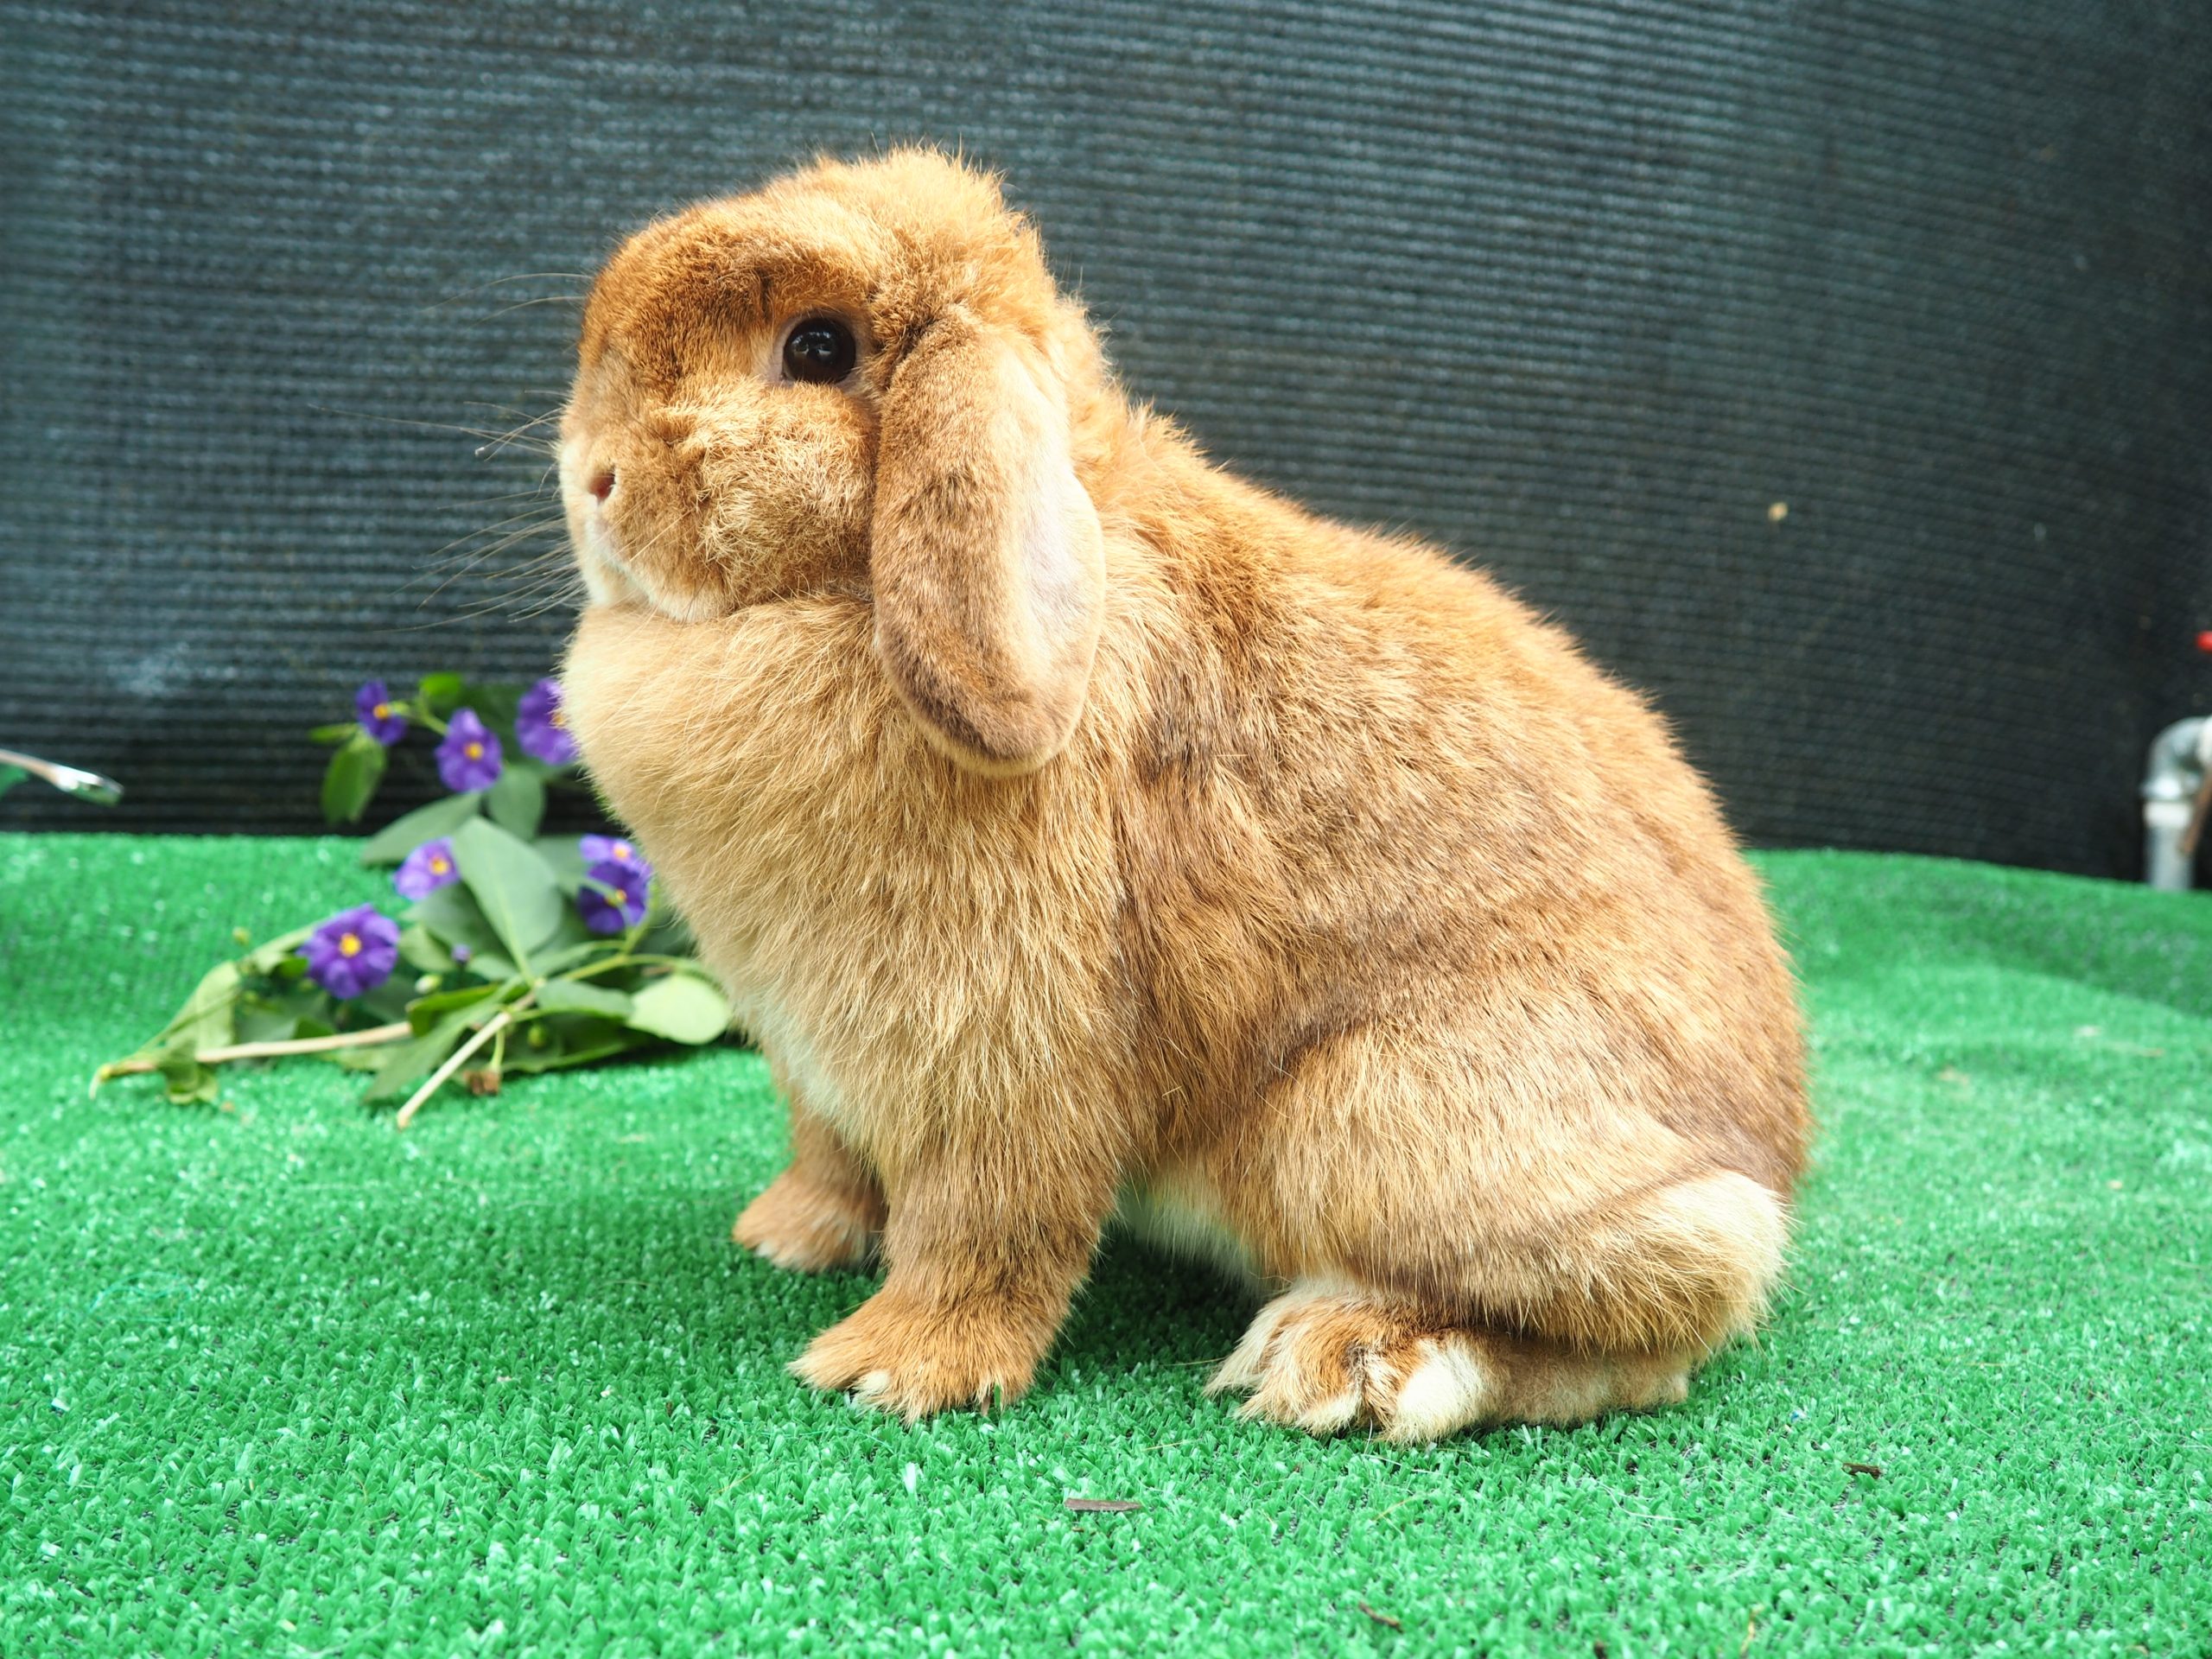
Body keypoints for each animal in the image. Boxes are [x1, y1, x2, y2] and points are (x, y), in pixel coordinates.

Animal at [558, 149, 1811, 1442]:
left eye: (814, 348)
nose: (590, 477)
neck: (848, 591)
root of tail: (1774, 1148)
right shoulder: (816, 1066)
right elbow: (833, 1155)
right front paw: (787, 1239)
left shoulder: (1003, 1054)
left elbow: (985, 1225)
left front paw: (888, 1370)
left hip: (1363, 1124)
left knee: (1682, 1288)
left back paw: (1349, 1359)